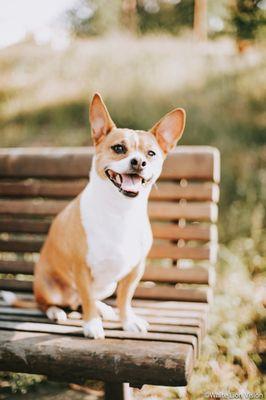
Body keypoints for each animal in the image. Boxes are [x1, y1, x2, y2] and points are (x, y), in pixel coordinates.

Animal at [1, 93, 185, 338]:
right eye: (118, 148)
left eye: (151, 153)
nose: (139, 162)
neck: (120, 211)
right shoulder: (82, 269)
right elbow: (87, 297)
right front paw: (91, 324)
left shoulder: (135, 270)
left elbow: (125, 299)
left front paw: (127, 320)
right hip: (49, 287)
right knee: (48, 303)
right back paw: (56, 312)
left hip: (108, 285)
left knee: (81, 299)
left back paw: (103, 309)